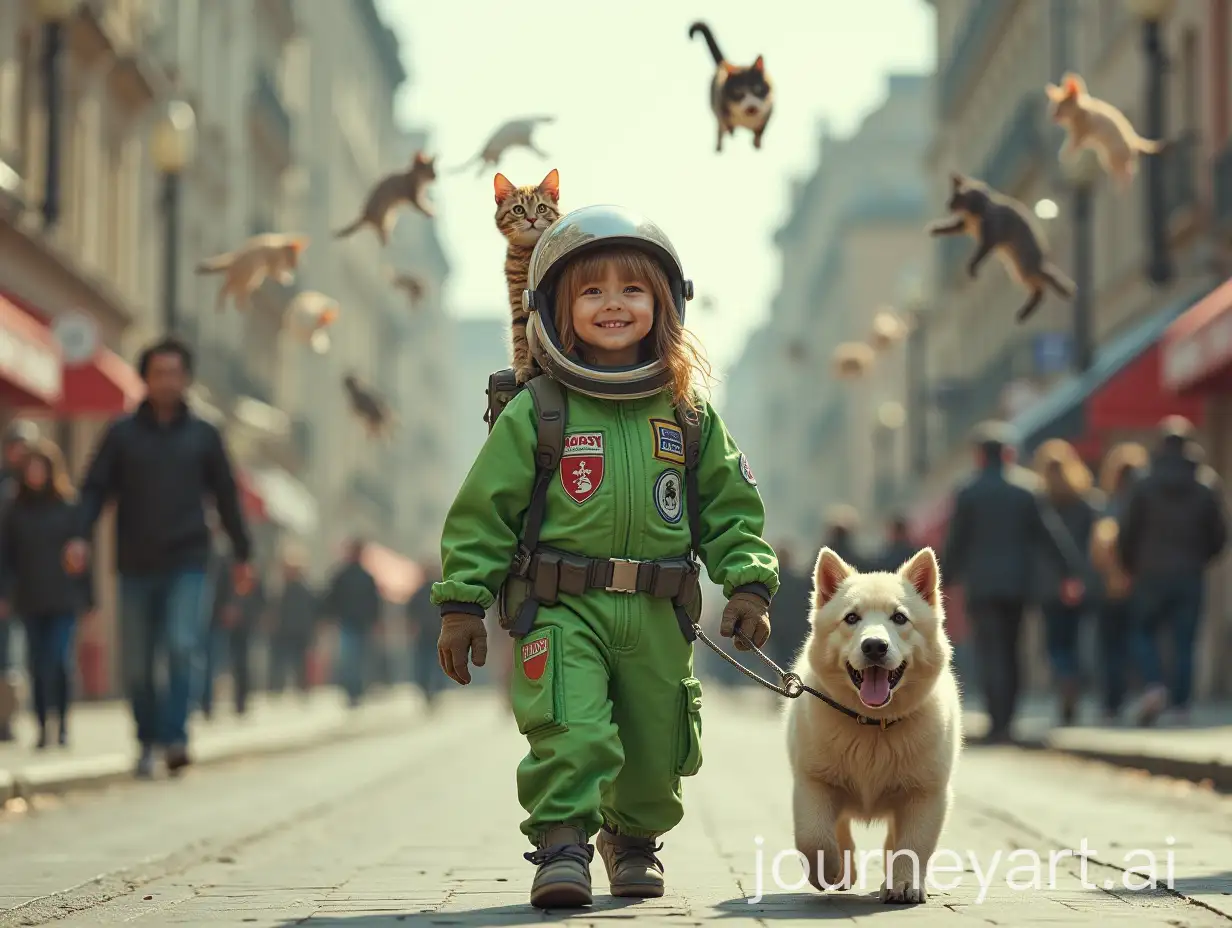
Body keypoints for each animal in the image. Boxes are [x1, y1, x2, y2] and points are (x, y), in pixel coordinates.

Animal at [495, 167, 564, 384]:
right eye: (518, 210)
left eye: (541, 208)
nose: (532, 219)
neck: (527, 252)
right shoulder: (519, 300)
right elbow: (519, 335)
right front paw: (522, 367)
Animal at [689, 20, 773, 152]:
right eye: (737, 91)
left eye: (757, 88)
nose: (751, 107)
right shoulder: (721, 108)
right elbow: (727, 128)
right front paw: (730, 137)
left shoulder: (768, 113)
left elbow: (759, 134)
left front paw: (757, 145)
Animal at [926, 173, 1074, 322]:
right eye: (952, 197)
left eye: (956, 198)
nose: (947, 205)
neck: (976, 214)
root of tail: (1041, 261)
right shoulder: (964, 225)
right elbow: (949, 227)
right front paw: (935, 229)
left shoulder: (989, 239)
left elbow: (978, 256)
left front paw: (972, 267)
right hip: (1016, 270)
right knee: (1040, 285)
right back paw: (1024, 313)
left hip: (1022, 267)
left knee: (1041, 287)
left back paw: (1024, 313)